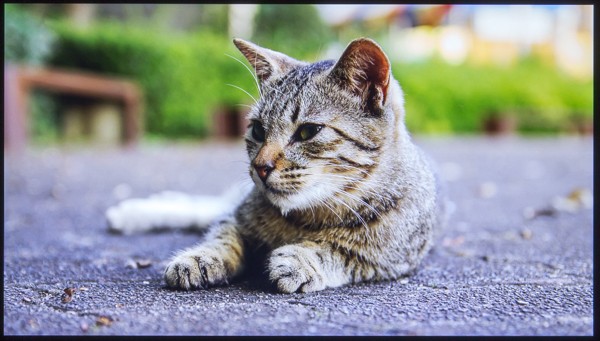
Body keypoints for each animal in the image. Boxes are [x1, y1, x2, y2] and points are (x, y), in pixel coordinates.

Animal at [109, 37, 446, 292]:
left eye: (308, 131)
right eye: (258, 130)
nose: (260, 166)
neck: (305, 217)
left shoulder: (388, 259)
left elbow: (335, 248)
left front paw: (300, 259)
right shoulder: (237, 218)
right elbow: (223, 236)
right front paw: (201, 257)